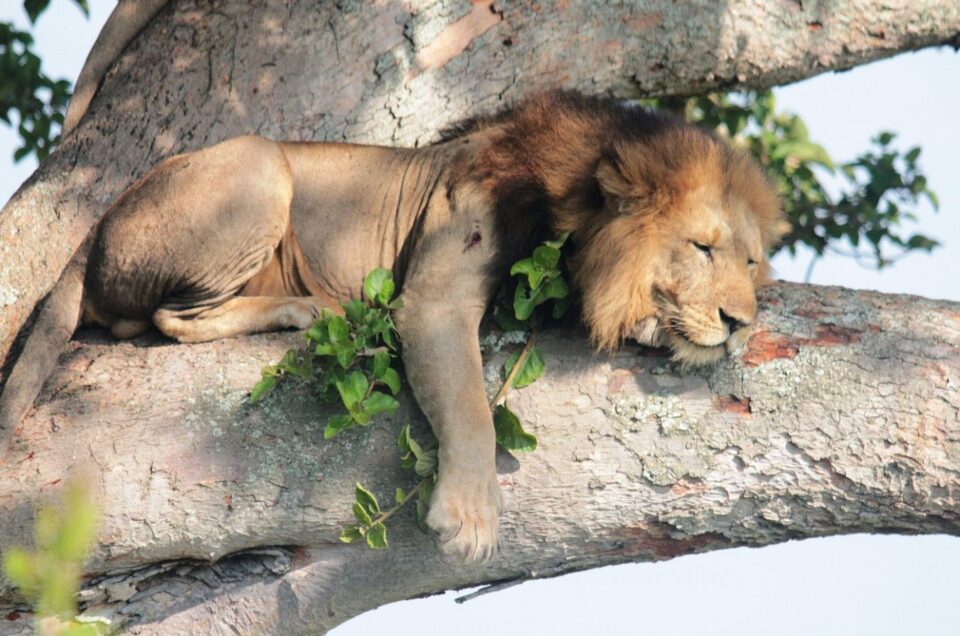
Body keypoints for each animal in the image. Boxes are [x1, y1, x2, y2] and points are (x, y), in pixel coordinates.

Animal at [0, 91, 785, 560]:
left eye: (750, 261)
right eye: (702, 247)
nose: (740, 322)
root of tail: (95, 227)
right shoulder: (434, 294)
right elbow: (469, 407)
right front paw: (470, 515)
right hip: (260, 162)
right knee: (166, 318)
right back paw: (306, 307)